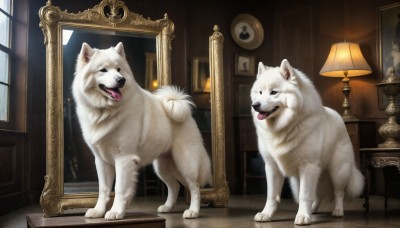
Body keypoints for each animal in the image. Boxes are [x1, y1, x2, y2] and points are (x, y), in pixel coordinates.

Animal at [72, 42, 212, 221]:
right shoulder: (102, 161)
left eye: (119, 69)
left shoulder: (124, 158)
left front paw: (116, 212)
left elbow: (119, 189)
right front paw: (98, 211)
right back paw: (167, 207)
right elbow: (103, 189)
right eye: (103, 70)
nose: (121, 80)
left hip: (185, 162)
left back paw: (193, 211)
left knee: (194, 186)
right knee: (175, 186)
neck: (105, 110)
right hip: (163, 167)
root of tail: (182, 107)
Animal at [252, 58, 364, 224]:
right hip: (298, 180)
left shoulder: (308, 166)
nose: (255, 105)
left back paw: (337, 211)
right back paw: (313, 210)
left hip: (338, 171)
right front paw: (266, 214)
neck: (286, 125)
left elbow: (305, 195)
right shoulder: (272, 167)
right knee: (317, 195)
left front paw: (303, 216)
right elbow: (272, 195)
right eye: (260, 92)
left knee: (338, 192)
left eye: (273, 92)